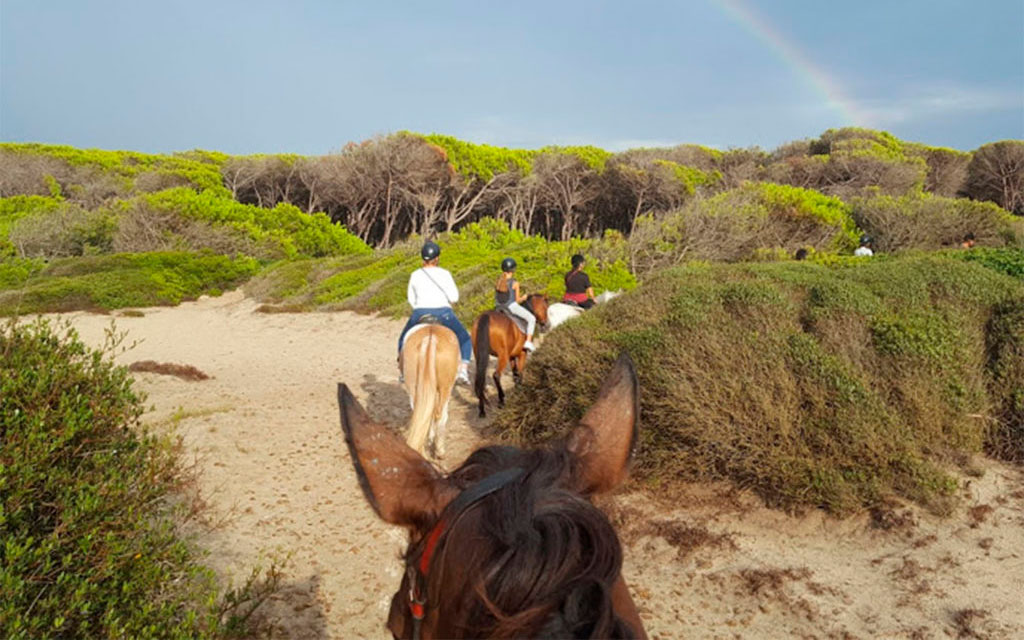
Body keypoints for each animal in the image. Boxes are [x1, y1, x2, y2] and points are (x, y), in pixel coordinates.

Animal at [401, 323, 458, 458]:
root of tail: (430, 339)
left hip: (413, 388)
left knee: (419, 414)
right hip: (446, 388)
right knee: (440, 415)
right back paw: (439, 450)